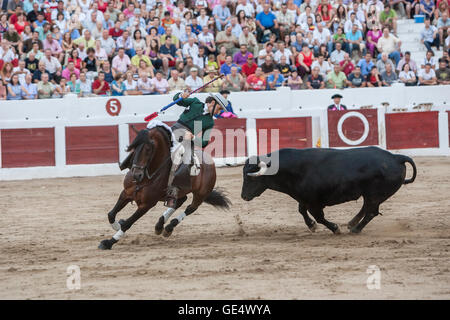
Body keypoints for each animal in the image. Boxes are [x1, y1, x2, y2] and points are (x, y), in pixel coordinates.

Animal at [99, 125, 232, 250]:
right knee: (179, 202)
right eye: (134, 148)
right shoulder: (126, 193)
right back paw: (160, 225)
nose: (136, 175)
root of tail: (210, 160)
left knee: (190, 208)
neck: (148, 176)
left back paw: (169, 227)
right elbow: (111, 214)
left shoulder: (146, 205)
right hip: (179, 192)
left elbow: (128, 223)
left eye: (148, 149)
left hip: (201, 194)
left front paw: (108, 242)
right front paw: (117, 225)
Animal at [241, 147, 416, 232]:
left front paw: (334, 228)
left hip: (375, 194)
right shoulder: (304, 198)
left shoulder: (314, 202)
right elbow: (302, 211)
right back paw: (351, 224)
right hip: (370, 194)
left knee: (371, 212)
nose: (243, 196)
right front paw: (311, 226)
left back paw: (355, 229)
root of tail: (396, 157)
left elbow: (319, 217)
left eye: (251, 178)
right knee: (367, 208)